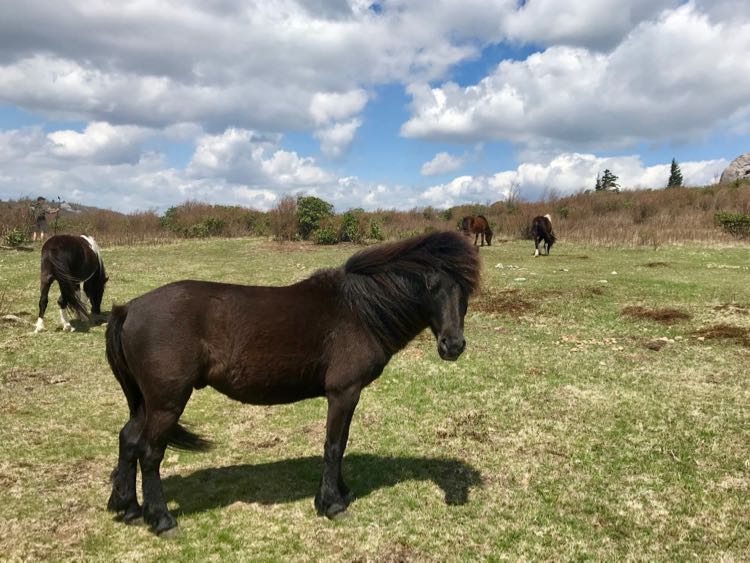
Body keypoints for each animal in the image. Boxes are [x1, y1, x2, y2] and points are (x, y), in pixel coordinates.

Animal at [106, 231, 482, 536]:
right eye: (431, 286)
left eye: (466, 289)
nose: (453, 346)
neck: (358, 312)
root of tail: (129, 309)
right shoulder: (343, 393)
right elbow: (334, 446)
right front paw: (331, 504)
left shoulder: (348, 396)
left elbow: (341, 444)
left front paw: (341, 492)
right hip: (167, 402)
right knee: (150, 453)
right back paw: (162, 520)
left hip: (146, 402)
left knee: (128, 439)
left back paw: (128, 508)